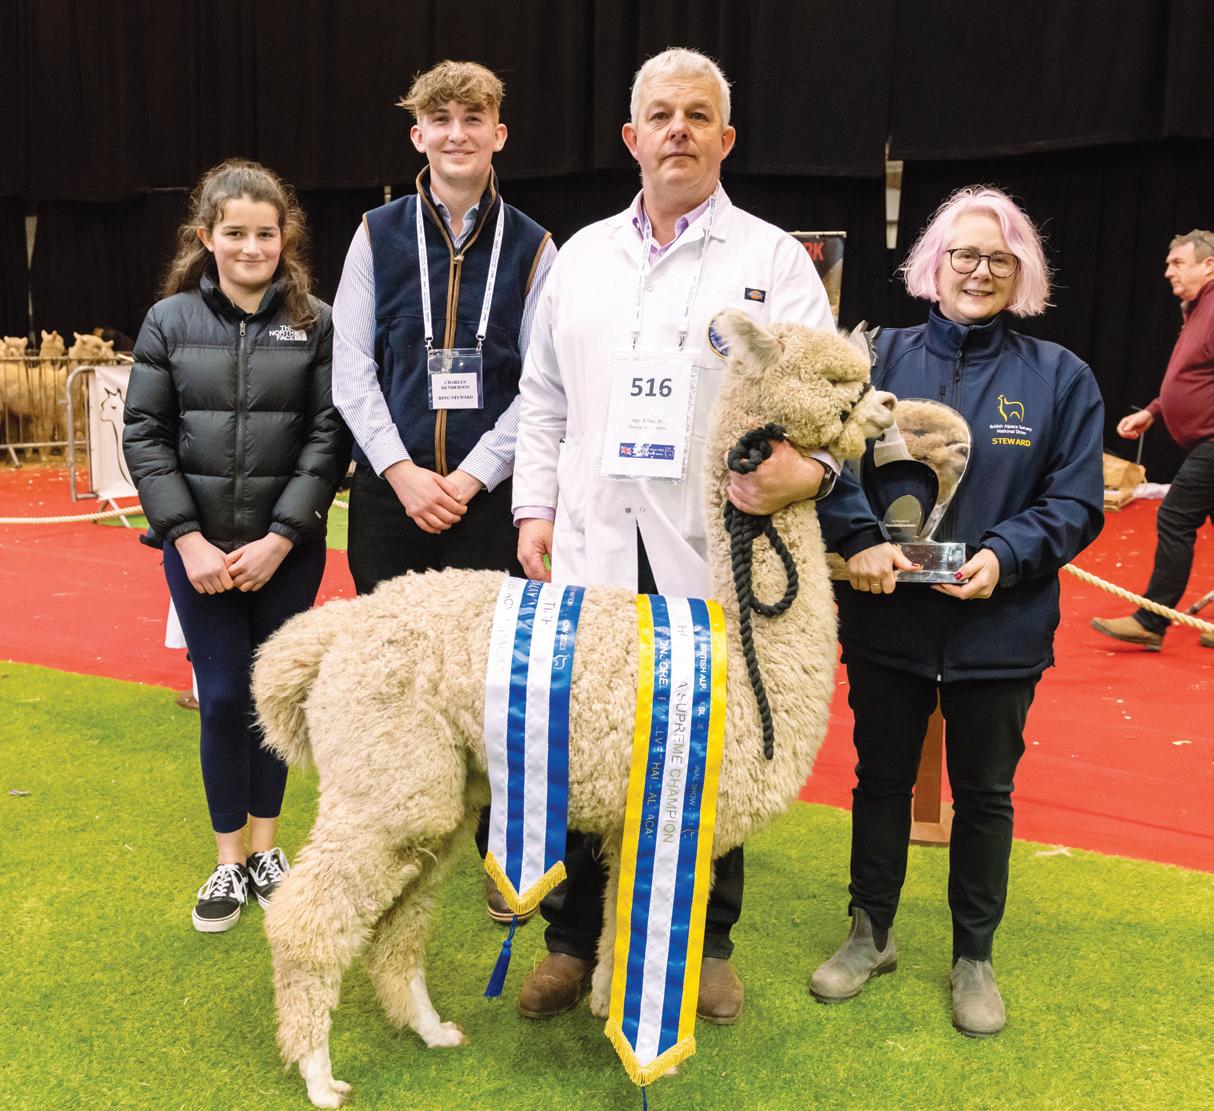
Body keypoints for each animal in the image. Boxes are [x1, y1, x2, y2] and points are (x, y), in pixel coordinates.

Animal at [252, 308, 896, 1107]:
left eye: (860, 369)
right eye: (837, 378)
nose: (887, 405)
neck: (747, 670)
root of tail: (336, 627)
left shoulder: (634, 825)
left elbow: (621, 923)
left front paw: (610, 1012)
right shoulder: (672, 814)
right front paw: (649, 1050)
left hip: (438, 791)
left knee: (400, 921)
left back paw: (431, 1030)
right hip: (388, 779)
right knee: (308, 917)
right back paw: (317, 1071)